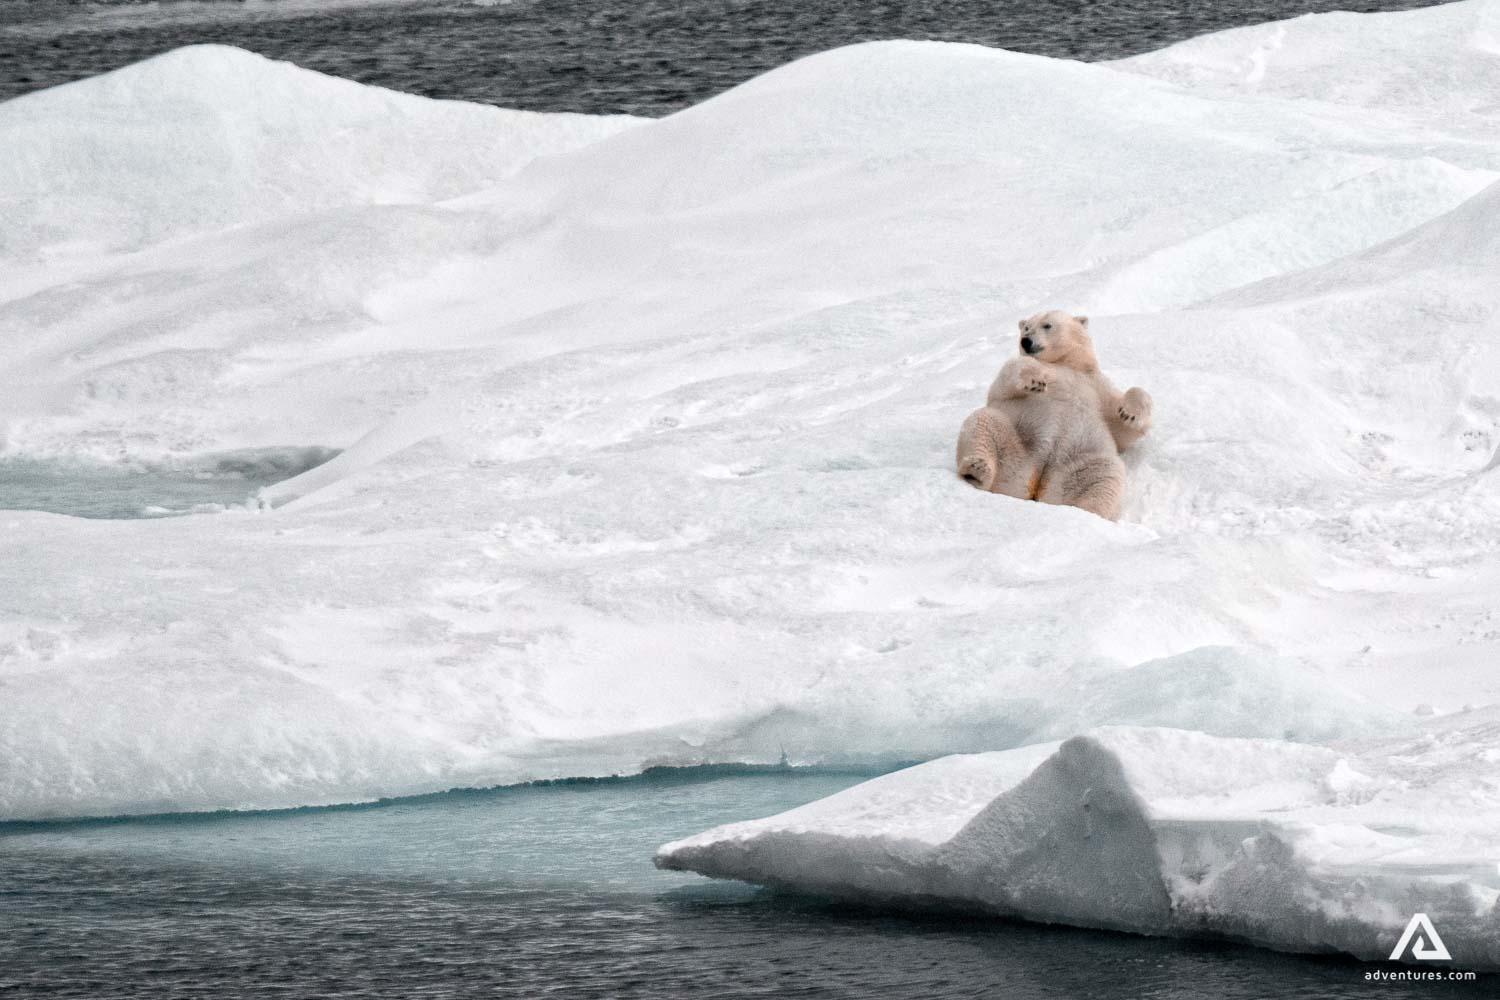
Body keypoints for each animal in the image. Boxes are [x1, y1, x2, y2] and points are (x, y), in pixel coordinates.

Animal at [955, 310, 1152, 521]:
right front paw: (1035, 380)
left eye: (1047, 325)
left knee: (1105, 475)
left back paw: (1086, 511)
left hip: (1075, 465)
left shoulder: (1096, 388)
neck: (1066, 365)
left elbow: (1120, 428)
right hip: (1015, 445)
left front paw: (1129, 413)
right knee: (983, 421)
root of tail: (1035, 486)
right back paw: (976, 470)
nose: (1026, 341)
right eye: (1026, 327)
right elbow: (1007, 379)